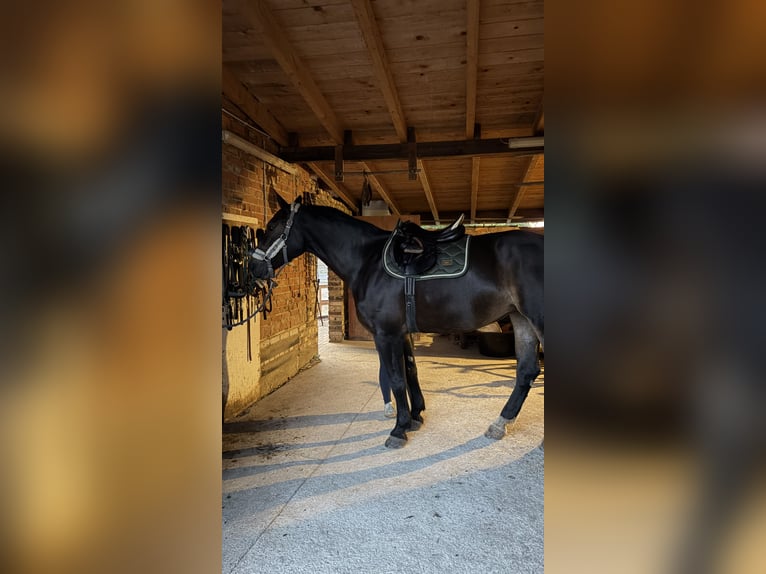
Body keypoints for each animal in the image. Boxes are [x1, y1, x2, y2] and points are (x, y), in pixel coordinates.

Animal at [249, 194, 544, 448]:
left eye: (272, 226)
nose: (253, 269)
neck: (366, 260)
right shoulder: (401, 332)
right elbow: (410, 372)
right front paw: (415, 417)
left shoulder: (386, 334)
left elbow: (395, 378)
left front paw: (399, 429)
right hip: (521, 320)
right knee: (526, 371)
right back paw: (499, 424)